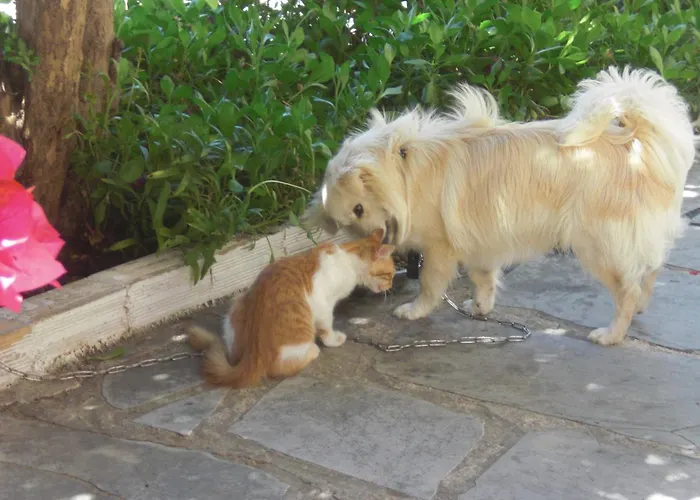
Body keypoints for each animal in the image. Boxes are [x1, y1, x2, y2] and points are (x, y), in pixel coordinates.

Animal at [187, 228, 396, 388]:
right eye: (390, 275)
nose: (391, 286)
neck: (347, 259)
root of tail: (252, 356)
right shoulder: (322, 304)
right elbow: (326, 326)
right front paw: (333, 340)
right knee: (282, 366)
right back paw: (312, 350)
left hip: (236, 306)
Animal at [303, 66, 697, 346]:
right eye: (346, 224)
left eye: (359, 210)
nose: (367, 245)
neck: (403, 168)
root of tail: (635, 145)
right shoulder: (480, 242)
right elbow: (484, 280)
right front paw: (480, 309)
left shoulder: (440, 248)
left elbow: (430, 285)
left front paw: (414, 311)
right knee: (649, 271)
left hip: (597, 246)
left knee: (627, 290)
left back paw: (612, 334)